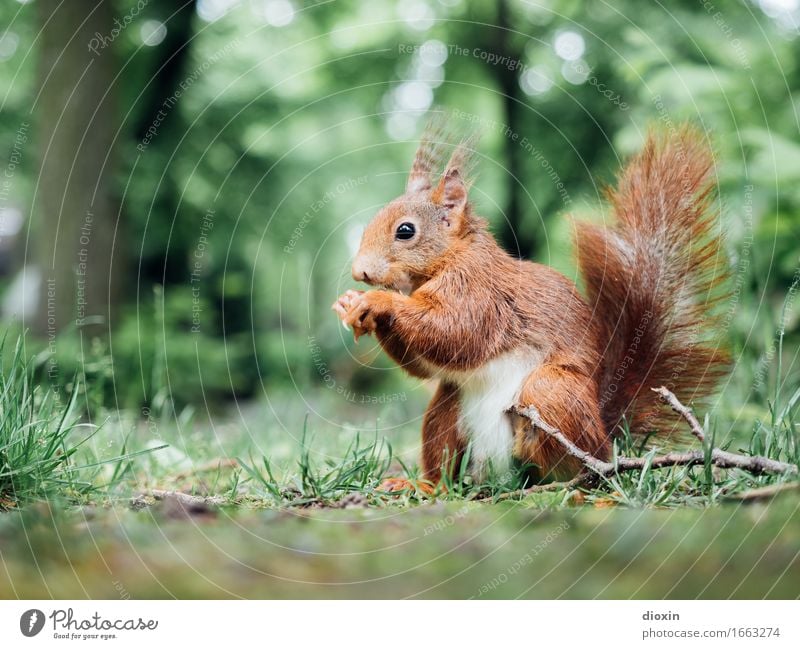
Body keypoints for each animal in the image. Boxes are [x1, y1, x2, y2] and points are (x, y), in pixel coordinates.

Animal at [332, 119, 732, 488]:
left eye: (405, 231)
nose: (358, 272)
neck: (449, 258)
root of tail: (606, 438)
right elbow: (426, 365)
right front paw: (351, 304)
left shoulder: (481, 291)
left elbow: (455, 332)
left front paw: (378, 300)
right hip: (448, 408)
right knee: (445, 460)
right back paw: (422, 485)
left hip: (552, 393)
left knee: (576, 468)